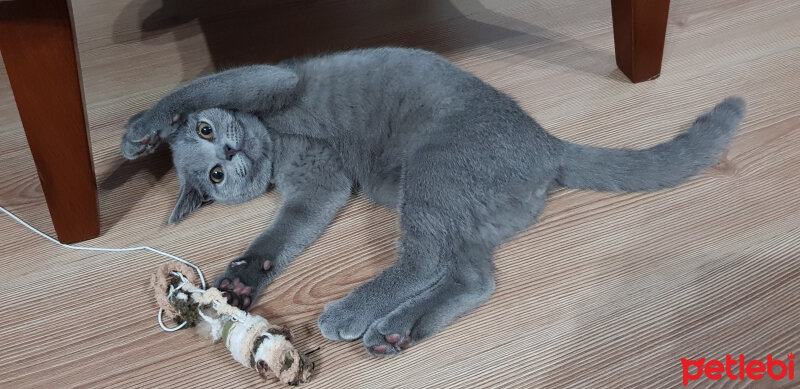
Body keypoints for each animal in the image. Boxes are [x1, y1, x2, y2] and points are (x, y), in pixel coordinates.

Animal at [122, 47, 748, 354]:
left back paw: (354, 314)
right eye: (217, 173)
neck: (275, 141)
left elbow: (199, 88)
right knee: (472, 277)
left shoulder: (272, 84)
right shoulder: (317, 188)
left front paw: (142, 131)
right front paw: (241, 280)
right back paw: (397, 330)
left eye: (208, 133)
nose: (229, 148)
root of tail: (548, 144)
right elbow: (279, 236)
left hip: (432, 174)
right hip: (457, 206)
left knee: (425, 260)